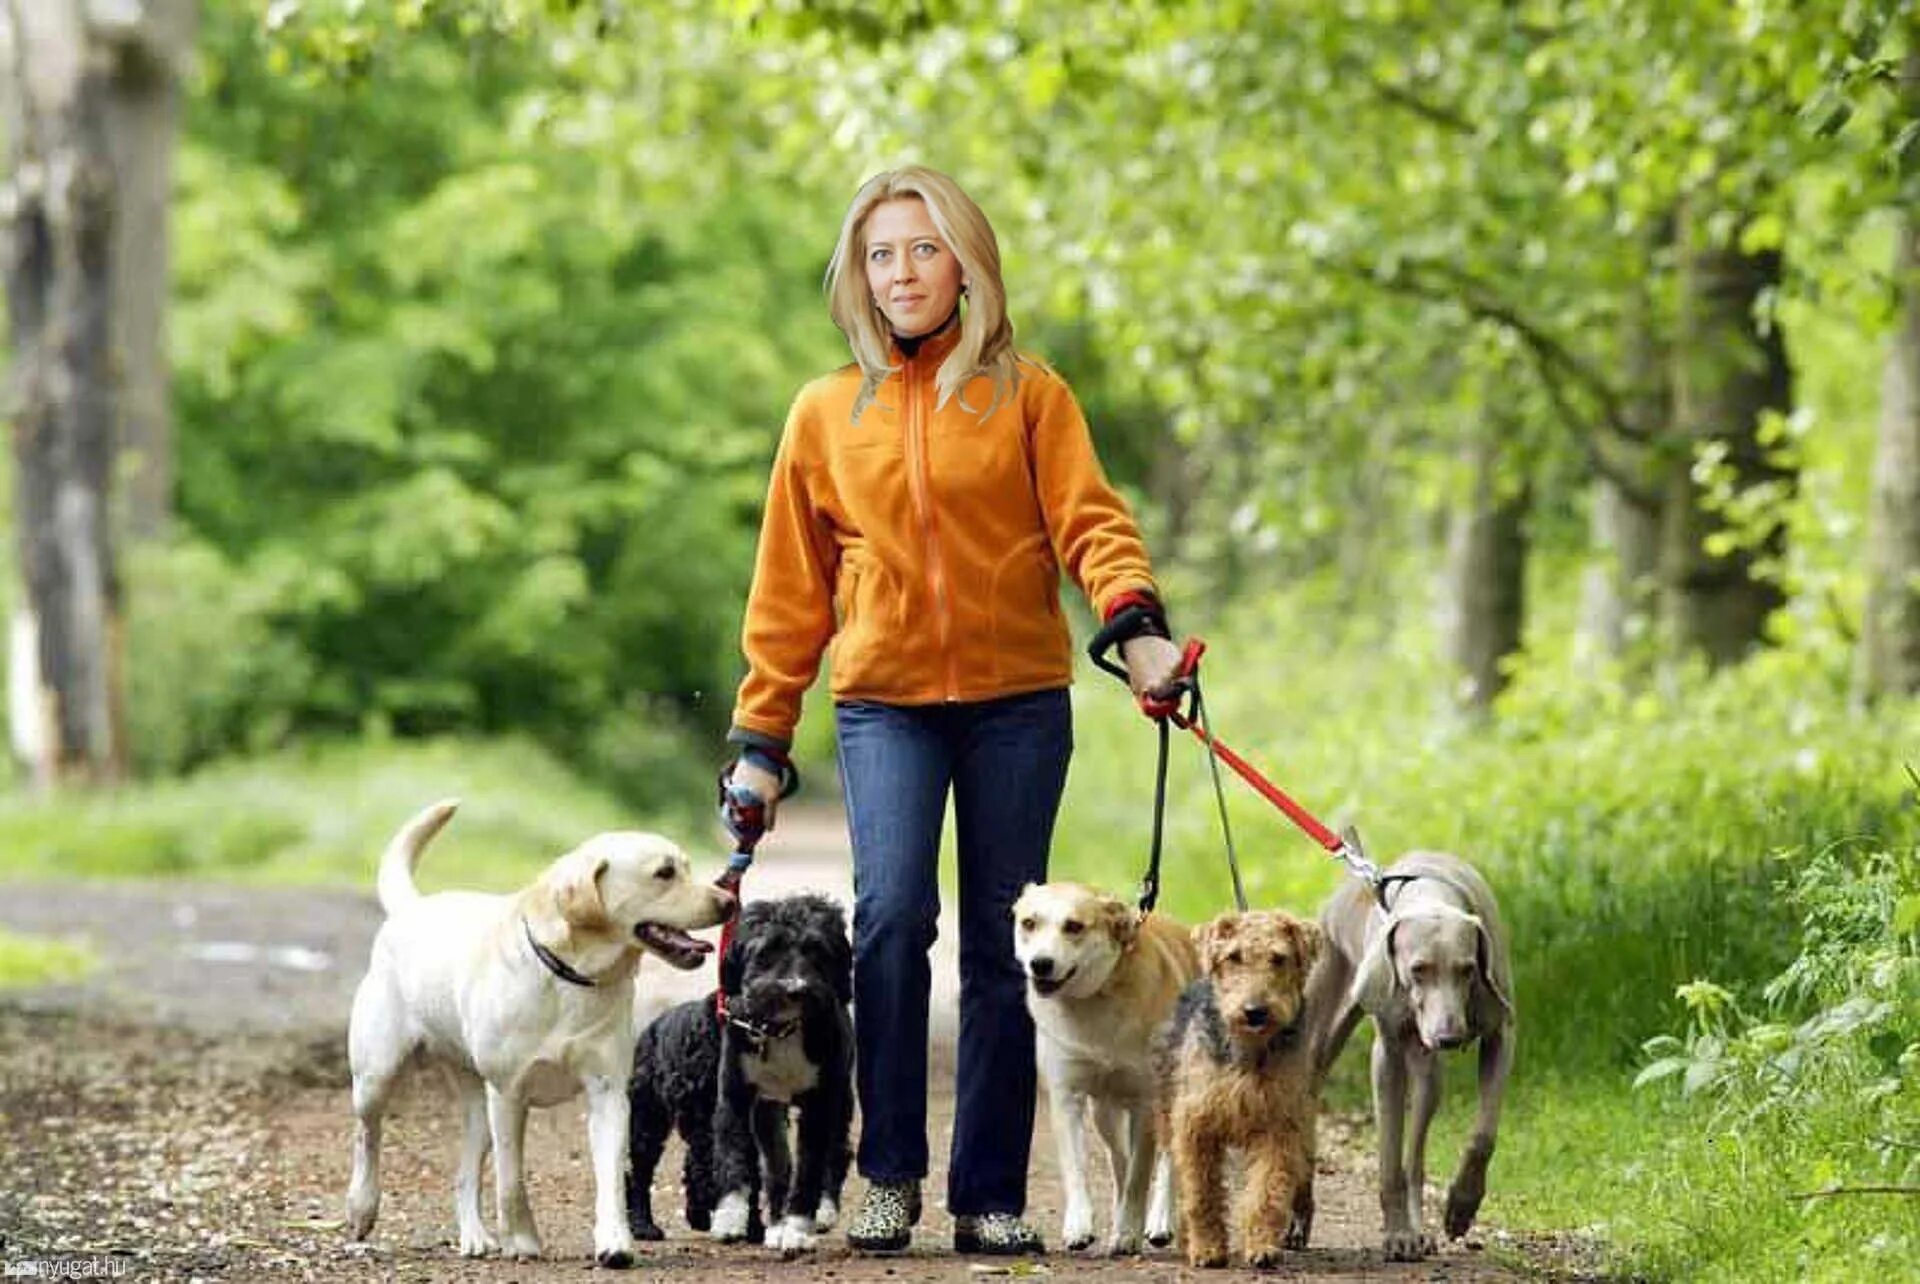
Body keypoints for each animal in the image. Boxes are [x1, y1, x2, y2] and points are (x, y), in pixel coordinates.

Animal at [345, 794, 733, 1266]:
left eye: (687, 866)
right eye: (664, 873)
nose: (729, 901)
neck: (572, 975)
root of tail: (412, 908)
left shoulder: (608, 1093)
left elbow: (610, 1178)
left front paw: (614, 1242)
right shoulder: (508, 1093)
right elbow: (511, 1181)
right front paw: (523, 1241)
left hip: (478, 1109)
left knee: (464, 1174)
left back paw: (474, 1235)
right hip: (378, 1076)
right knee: (367, 1136)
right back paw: (362, 1207)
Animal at [625, 898, 852, 1243]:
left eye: (817, 951)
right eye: (765, 952)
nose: (796, 988)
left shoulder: (814, 1104)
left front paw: (762, 1224)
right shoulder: (725, 1109)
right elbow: (729, 1165)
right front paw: (732, 1219)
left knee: (833, 1154)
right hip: (648, 1118)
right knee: (641, 1170)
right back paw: (644, 1223)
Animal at [1006, 882, 1198, 1251]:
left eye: (1074, 926)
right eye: (1029, 923)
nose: (1040, 964)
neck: (1096, 1000)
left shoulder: (1145, 1102)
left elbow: (1141, 1172)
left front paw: (1128, 1232)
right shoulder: (1067, 1095)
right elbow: (1077, 1165)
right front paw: (1079, 1225)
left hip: (1174, 1098)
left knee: (1168, 1160)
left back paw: (1159, 1221)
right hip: (1104, 1112)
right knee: (1118, 1157)